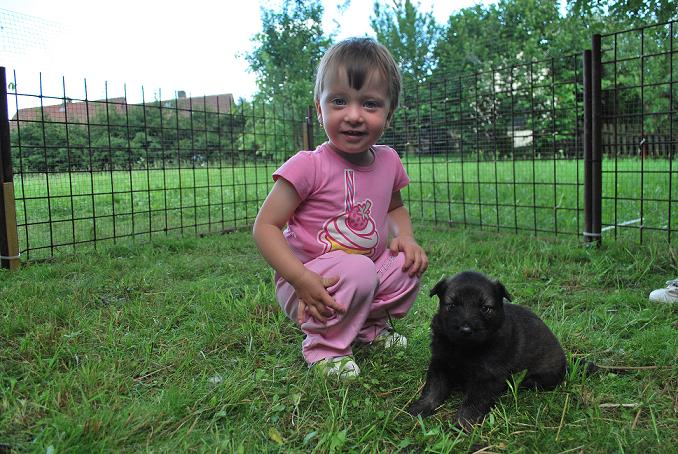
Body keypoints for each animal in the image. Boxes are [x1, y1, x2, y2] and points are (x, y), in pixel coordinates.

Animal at [407, 271, 574, 429]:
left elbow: (473, 402)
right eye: (452, 305)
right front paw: (420, 408)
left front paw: (462, 424)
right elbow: (433, 388)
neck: (464, 348)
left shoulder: (487, 376)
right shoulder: (440, 362)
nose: (466, 330)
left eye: (485, 308)